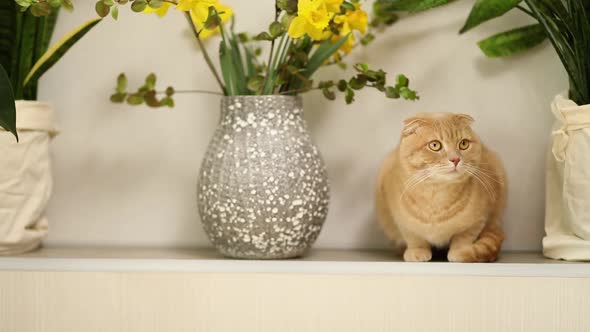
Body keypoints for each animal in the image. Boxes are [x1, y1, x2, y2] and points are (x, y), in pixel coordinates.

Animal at [380, 113, 508, 264]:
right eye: (435, 145)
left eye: (463, 144)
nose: (456, 159)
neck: (437, 194)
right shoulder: (403, 223)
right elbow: (415, 239)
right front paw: (417, 252)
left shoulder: (478, 220)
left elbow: (464, 237)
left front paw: (460, 252)